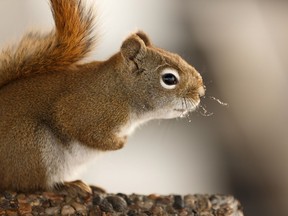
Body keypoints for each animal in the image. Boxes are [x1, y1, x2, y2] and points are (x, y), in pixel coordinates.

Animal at [0, 0, 205, 192]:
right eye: (169, 78)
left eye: (178, 56)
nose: (201, 93)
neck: (121, 90)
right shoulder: (83, 110)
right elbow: (83, 130)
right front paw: (120, 142)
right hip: (32, 144)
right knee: (31, 184)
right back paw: (66, 186)